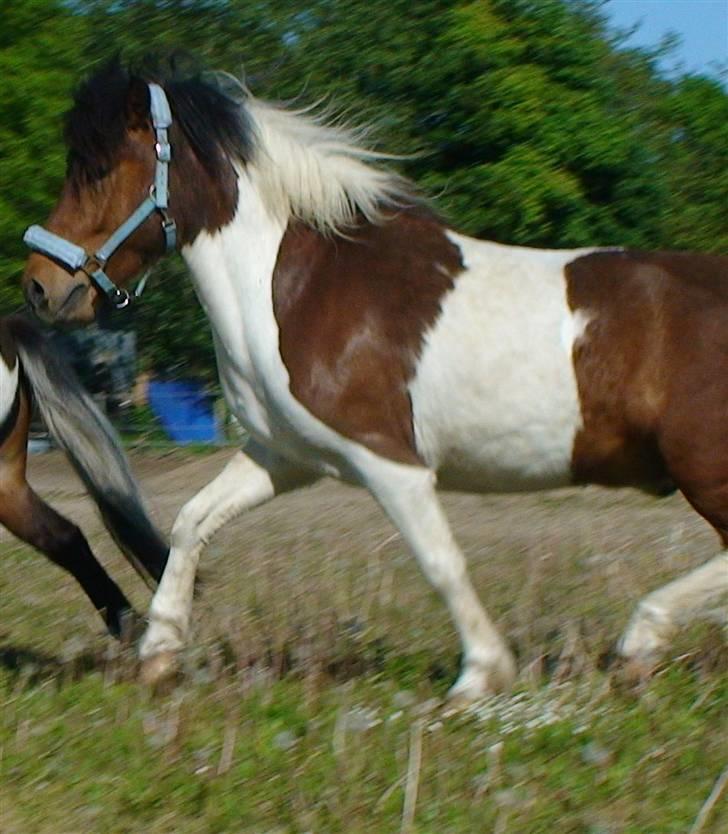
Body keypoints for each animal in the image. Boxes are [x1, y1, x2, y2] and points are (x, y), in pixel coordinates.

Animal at [19, 57, 724, 696]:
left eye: (97, 169)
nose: (39, 287)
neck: (302, 289)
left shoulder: (390, 462)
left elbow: (440, 562)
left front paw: (481, 674)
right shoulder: (284, 454)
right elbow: (193, 521)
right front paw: (159, 652)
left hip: (704, 471)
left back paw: (640, 639)